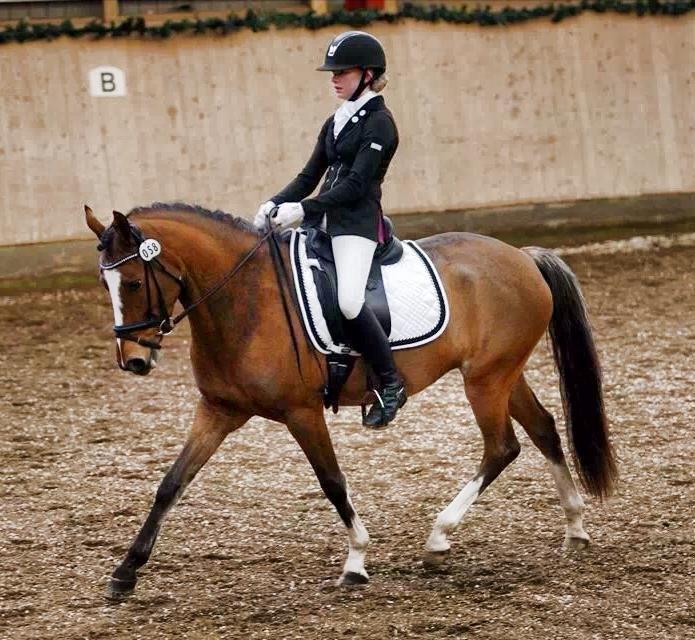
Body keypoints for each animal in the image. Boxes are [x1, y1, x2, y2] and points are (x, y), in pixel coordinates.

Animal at [84, 202, 617, 600]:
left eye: (133, 282)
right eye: (104, 284)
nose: (134, 360)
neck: (244, 301)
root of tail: (522, 257)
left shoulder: (301, 412)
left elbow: (332, 482)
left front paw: (357, 559)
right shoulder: (218, 411)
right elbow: (170, 485)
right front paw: (124, 573)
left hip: (485, 380)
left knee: (502, 447)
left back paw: (439, 537)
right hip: (504, 374)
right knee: (544, 428)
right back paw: (575, 529)